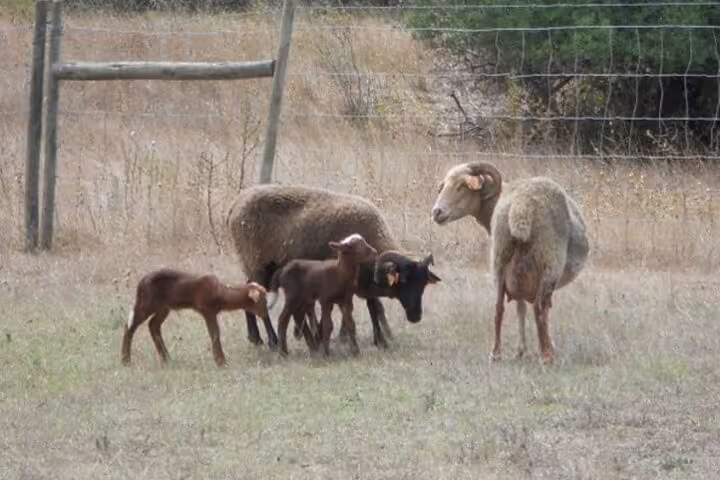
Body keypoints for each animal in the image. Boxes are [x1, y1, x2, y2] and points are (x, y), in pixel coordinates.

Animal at [121, 268, 277, 367]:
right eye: (262, 300)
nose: (265, 313)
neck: (221, 292)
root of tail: (140, 284)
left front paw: (220, 360)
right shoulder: (207, 310)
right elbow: (215, 334)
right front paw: (221, 361)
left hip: (164, 307)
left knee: (153, 325)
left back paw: (166, 359)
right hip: (147, 303)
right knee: (130, 326)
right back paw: (125, 360)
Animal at [226, 184, 441, 350]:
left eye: (423, 285)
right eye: (404, 280)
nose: (416, 316)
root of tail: (235, 204)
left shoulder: (362, 283)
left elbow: (373, 307)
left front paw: (379, 339)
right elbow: (367, 307)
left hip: (259, 267)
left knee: (248, 291)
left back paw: (255, 338)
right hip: (257, 264)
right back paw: (272, 340)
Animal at [430, 162, 589, 364]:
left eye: (461, 186)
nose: (436, 212)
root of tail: (521, 209)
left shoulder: (517, 277)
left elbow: (520, 308)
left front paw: (521, 351)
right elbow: (541, 310)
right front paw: (547, 347)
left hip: (500, 258)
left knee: (498, 307)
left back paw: (496, 354)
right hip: (549, 261)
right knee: (538, 308)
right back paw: (546, 356)